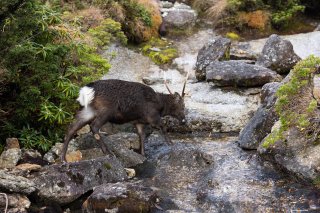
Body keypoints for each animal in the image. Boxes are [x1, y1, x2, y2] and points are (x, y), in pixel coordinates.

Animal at [60, 73, 188, 161]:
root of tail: (87, 91)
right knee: (94, 127)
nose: (184, 120)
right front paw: (171, 143)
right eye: (182, 105)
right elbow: (163, 127)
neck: (160, 106)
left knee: (72, 127)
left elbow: (141, 136)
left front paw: (143, 154)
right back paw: (108, 153)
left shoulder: (139, 121)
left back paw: (63, 158)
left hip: (89, 110)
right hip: (105, 110)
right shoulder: (152, 117)